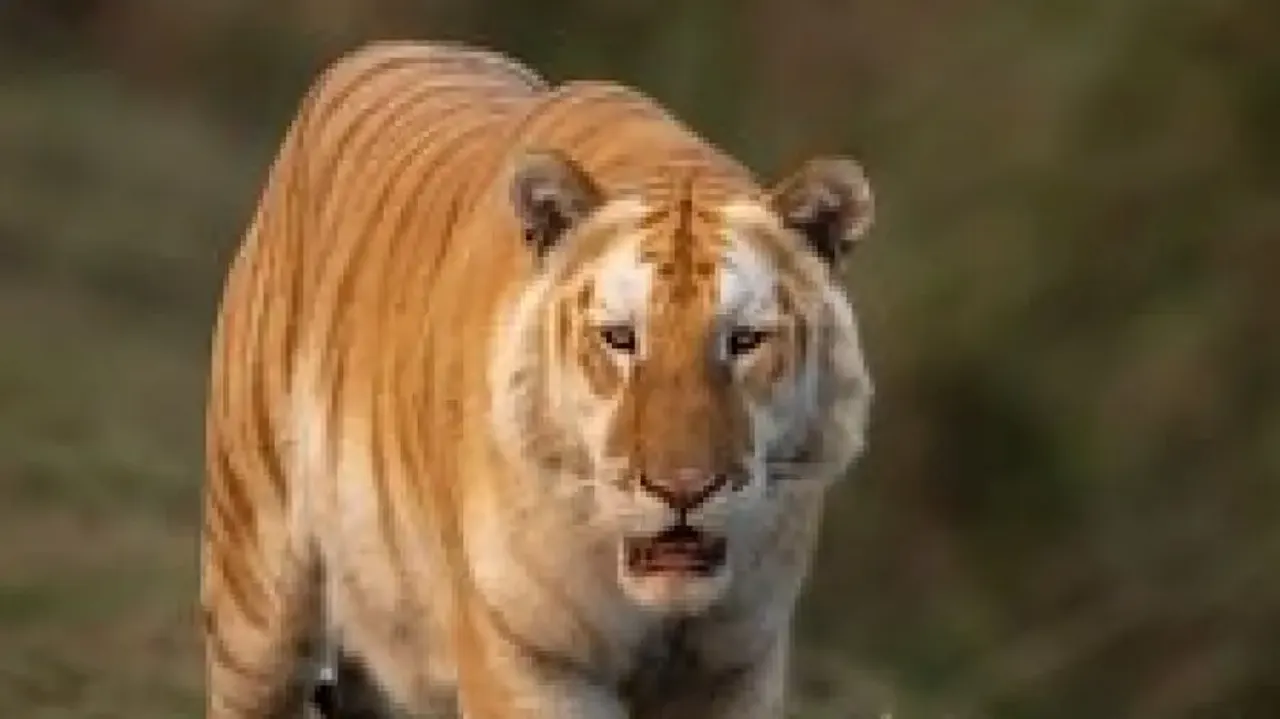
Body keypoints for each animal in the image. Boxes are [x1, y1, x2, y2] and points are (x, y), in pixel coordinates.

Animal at [200, 39, 877, 719]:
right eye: (620, 338)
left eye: (743, 341)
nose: (682, 490)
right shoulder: (530, 662)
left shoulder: (735, 666)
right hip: (254, 598)